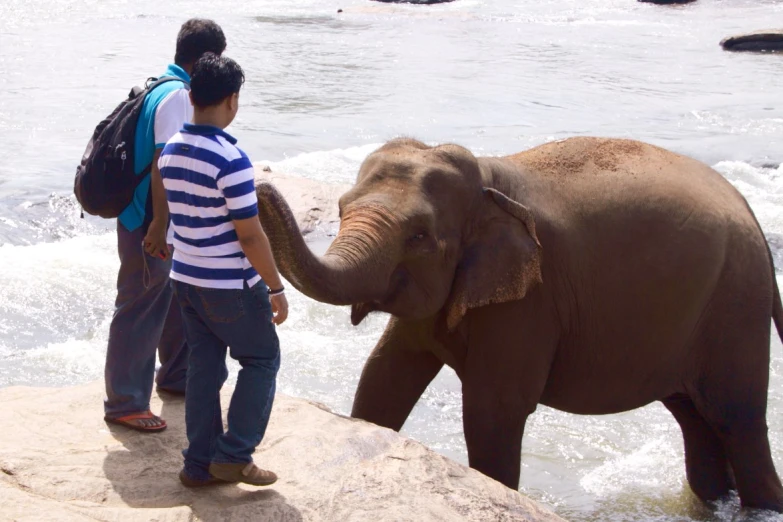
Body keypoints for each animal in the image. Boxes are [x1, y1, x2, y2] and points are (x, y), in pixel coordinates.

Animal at [258, 136, 783, 510]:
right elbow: (384, 375)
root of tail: (750, 214)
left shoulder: (531, 300)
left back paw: (761, 505)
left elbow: (494, 408)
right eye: (341, 209)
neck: (488, 180)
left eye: (420, 236)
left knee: (736, 417)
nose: (260, 187)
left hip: (737, 304)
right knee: (693, 415)